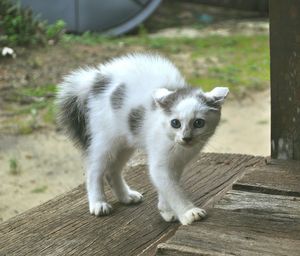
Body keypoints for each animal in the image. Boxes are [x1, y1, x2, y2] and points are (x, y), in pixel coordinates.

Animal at [56, 53, 229, 225]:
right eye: (175, 123)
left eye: (199, 123)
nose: (186, 138)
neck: (177, 147)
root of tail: (96, 79)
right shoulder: (160, 161)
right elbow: (172, 189)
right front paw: (188, 212)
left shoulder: (176, 163)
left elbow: (166, 185)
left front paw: (165, 210)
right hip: (105, 141)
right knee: (94, 170)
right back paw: (98, 203)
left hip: (125, 142)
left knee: (112, 170)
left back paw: (126, 196)